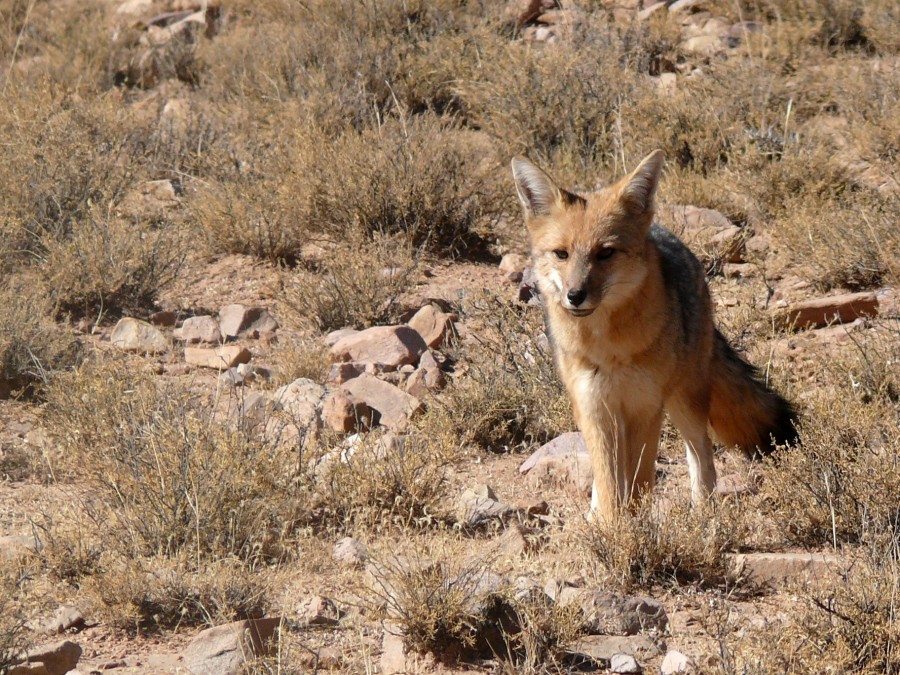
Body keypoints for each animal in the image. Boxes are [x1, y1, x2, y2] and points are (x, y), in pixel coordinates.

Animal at [510, 151, 800, 520]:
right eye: (561, 253)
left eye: (605, 253)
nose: (575, 296)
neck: (608, 348)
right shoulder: (594, 407)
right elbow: (609, 483)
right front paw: (610, 525)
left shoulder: (644, 407)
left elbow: (639, 482)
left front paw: (635, 527)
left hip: (684, 400)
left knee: (702, 453)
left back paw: (703, 515)